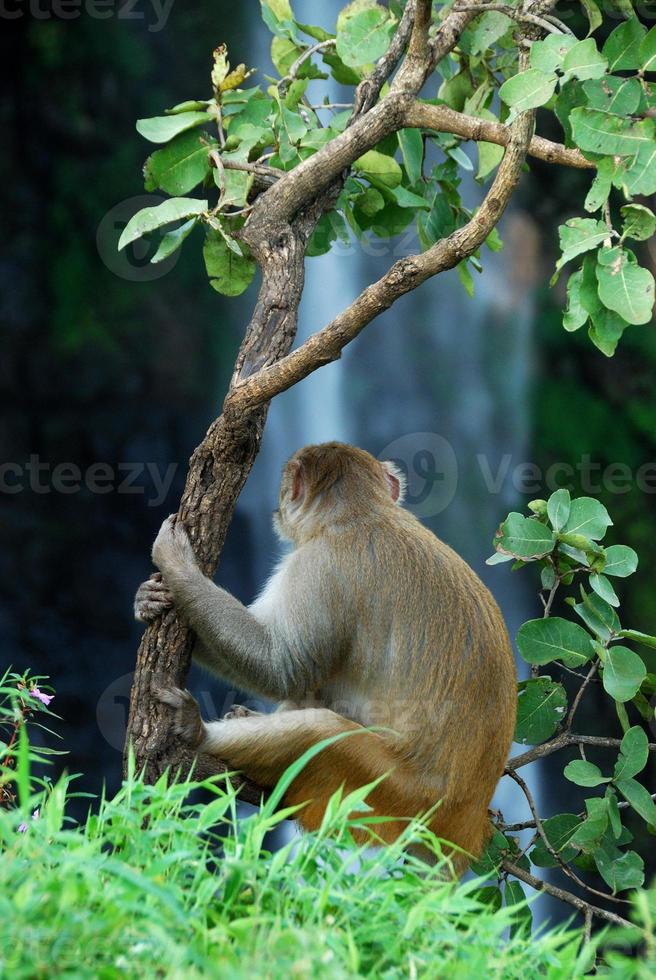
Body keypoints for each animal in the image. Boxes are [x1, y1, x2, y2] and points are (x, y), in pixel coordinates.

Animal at [136, 444, 516, 872]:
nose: (276, 505)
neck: (363, 513)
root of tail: (466, 824)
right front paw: (146, 599)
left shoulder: (319, 567)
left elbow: (281, 666)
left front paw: (178, 566)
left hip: (392, 794)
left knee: (318, 731)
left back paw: (197, 732)